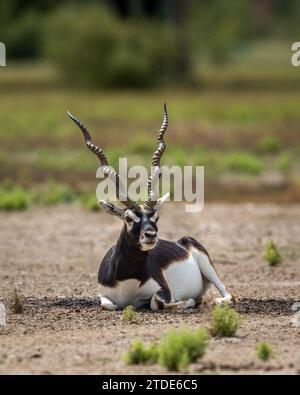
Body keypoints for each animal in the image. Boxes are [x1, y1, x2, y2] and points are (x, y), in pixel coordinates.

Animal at [68, 106, 234, 312]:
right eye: (129, 218)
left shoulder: (164, 290)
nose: (150, 235)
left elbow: (157, 302)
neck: (128, 281)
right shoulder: (104, 296)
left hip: (208, 266)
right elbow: (109, 305)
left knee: (228, 295)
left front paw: (187, 301)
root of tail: (182, 241)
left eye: (156, 217)